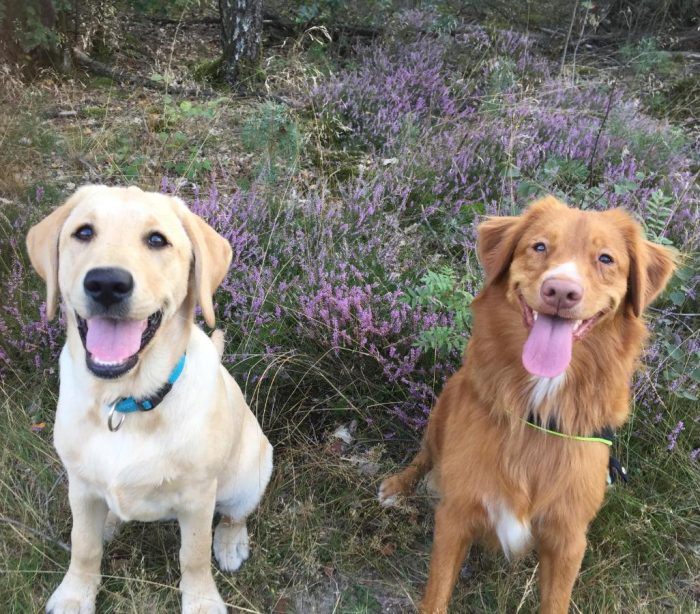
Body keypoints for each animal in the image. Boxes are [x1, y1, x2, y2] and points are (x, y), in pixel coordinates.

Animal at [380, 199, 676, 614]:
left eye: (606, 258)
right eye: (539, 246)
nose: (561, 291)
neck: (537, 410)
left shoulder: (568, 540)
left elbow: (555, 601)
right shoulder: (455, 516)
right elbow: (436, 595)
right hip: (442, 407)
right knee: (424, 455)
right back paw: (397, 485)